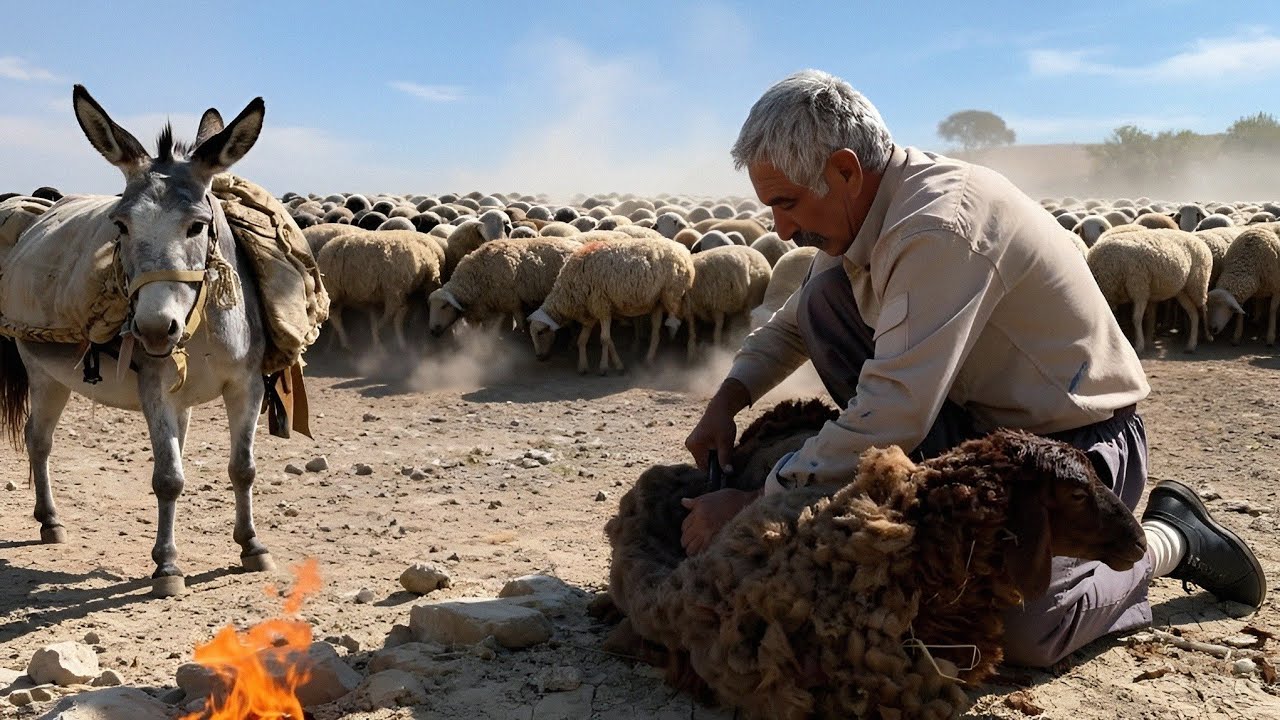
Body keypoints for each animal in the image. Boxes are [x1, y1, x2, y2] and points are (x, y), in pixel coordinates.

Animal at [316, 230, 445, 351]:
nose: (435, 332)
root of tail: (323, 251)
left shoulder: (397, 293)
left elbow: (398, 314)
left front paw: (399, 342)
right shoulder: (394, 291)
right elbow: (391, 316)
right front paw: (379, 334)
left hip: (342, 294)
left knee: (336, 315)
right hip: (333, 291)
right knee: (335, 317)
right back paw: (346, 344)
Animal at [528, 237, 694, 374]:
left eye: (540, 333)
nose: (538, 357)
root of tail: (683, 250)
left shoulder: (602, 307)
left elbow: (604, 339)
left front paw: (604, 368)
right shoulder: (592, 312)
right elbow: (587, 340)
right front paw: (585, 366)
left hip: (675, 294)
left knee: (688, 317)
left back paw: (691, 350)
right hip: (658, 301)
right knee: (655, 332)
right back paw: (649, 360)